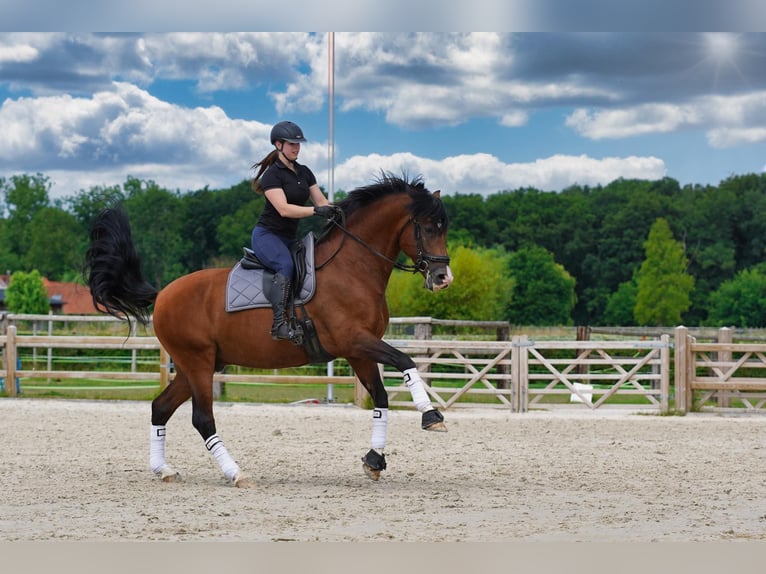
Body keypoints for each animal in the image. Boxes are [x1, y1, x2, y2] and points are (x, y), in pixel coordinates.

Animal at [84, 173, 456, 488]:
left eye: (444, 228)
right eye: (426, 227)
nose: (443, 278)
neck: (353, 267)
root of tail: (162, 294)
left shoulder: (358, 351)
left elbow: (380, 398)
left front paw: (374, 460)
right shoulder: (355, 341)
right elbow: (406, 361)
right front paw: (431, 415)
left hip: (197, 366)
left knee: (160, 407)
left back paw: (164, 470)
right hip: (197, 363)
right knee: (202, 418)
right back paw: (236, 473)